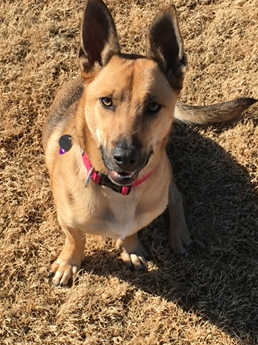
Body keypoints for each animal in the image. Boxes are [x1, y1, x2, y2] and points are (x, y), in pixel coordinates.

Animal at [42, 0, 256, 284]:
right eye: (106, 101)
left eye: (153, 106)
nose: (125, 158)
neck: (117, 191)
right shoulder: (67, 219)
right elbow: (75, 239)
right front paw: (69, 263)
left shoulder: (143, 211)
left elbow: (132, 230)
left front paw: (130, 248)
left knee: (176, 194)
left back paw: (179, 233)